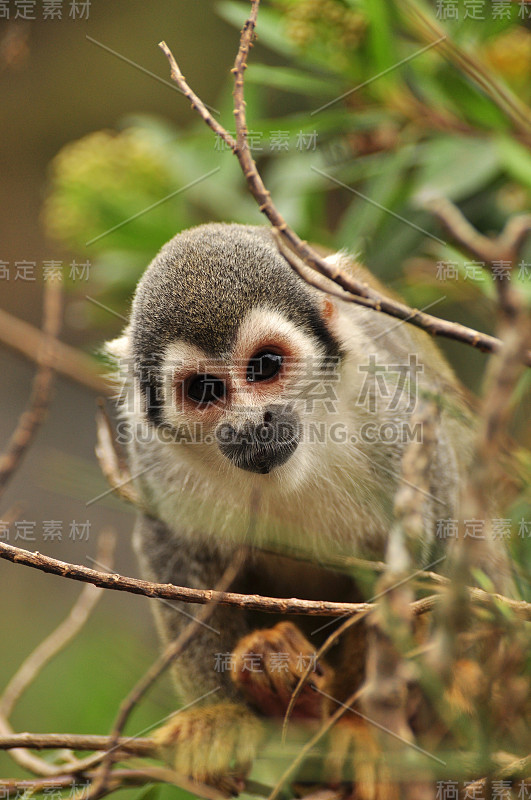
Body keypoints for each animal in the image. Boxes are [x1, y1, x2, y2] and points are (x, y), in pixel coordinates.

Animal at [106, 223, 512, 792]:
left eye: (265, 366)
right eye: (205, 389)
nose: (253, 424)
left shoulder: (391, 411)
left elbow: (429, 538)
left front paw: (361, 726)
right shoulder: (154, 453)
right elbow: (170, 549)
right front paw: (218, 716)